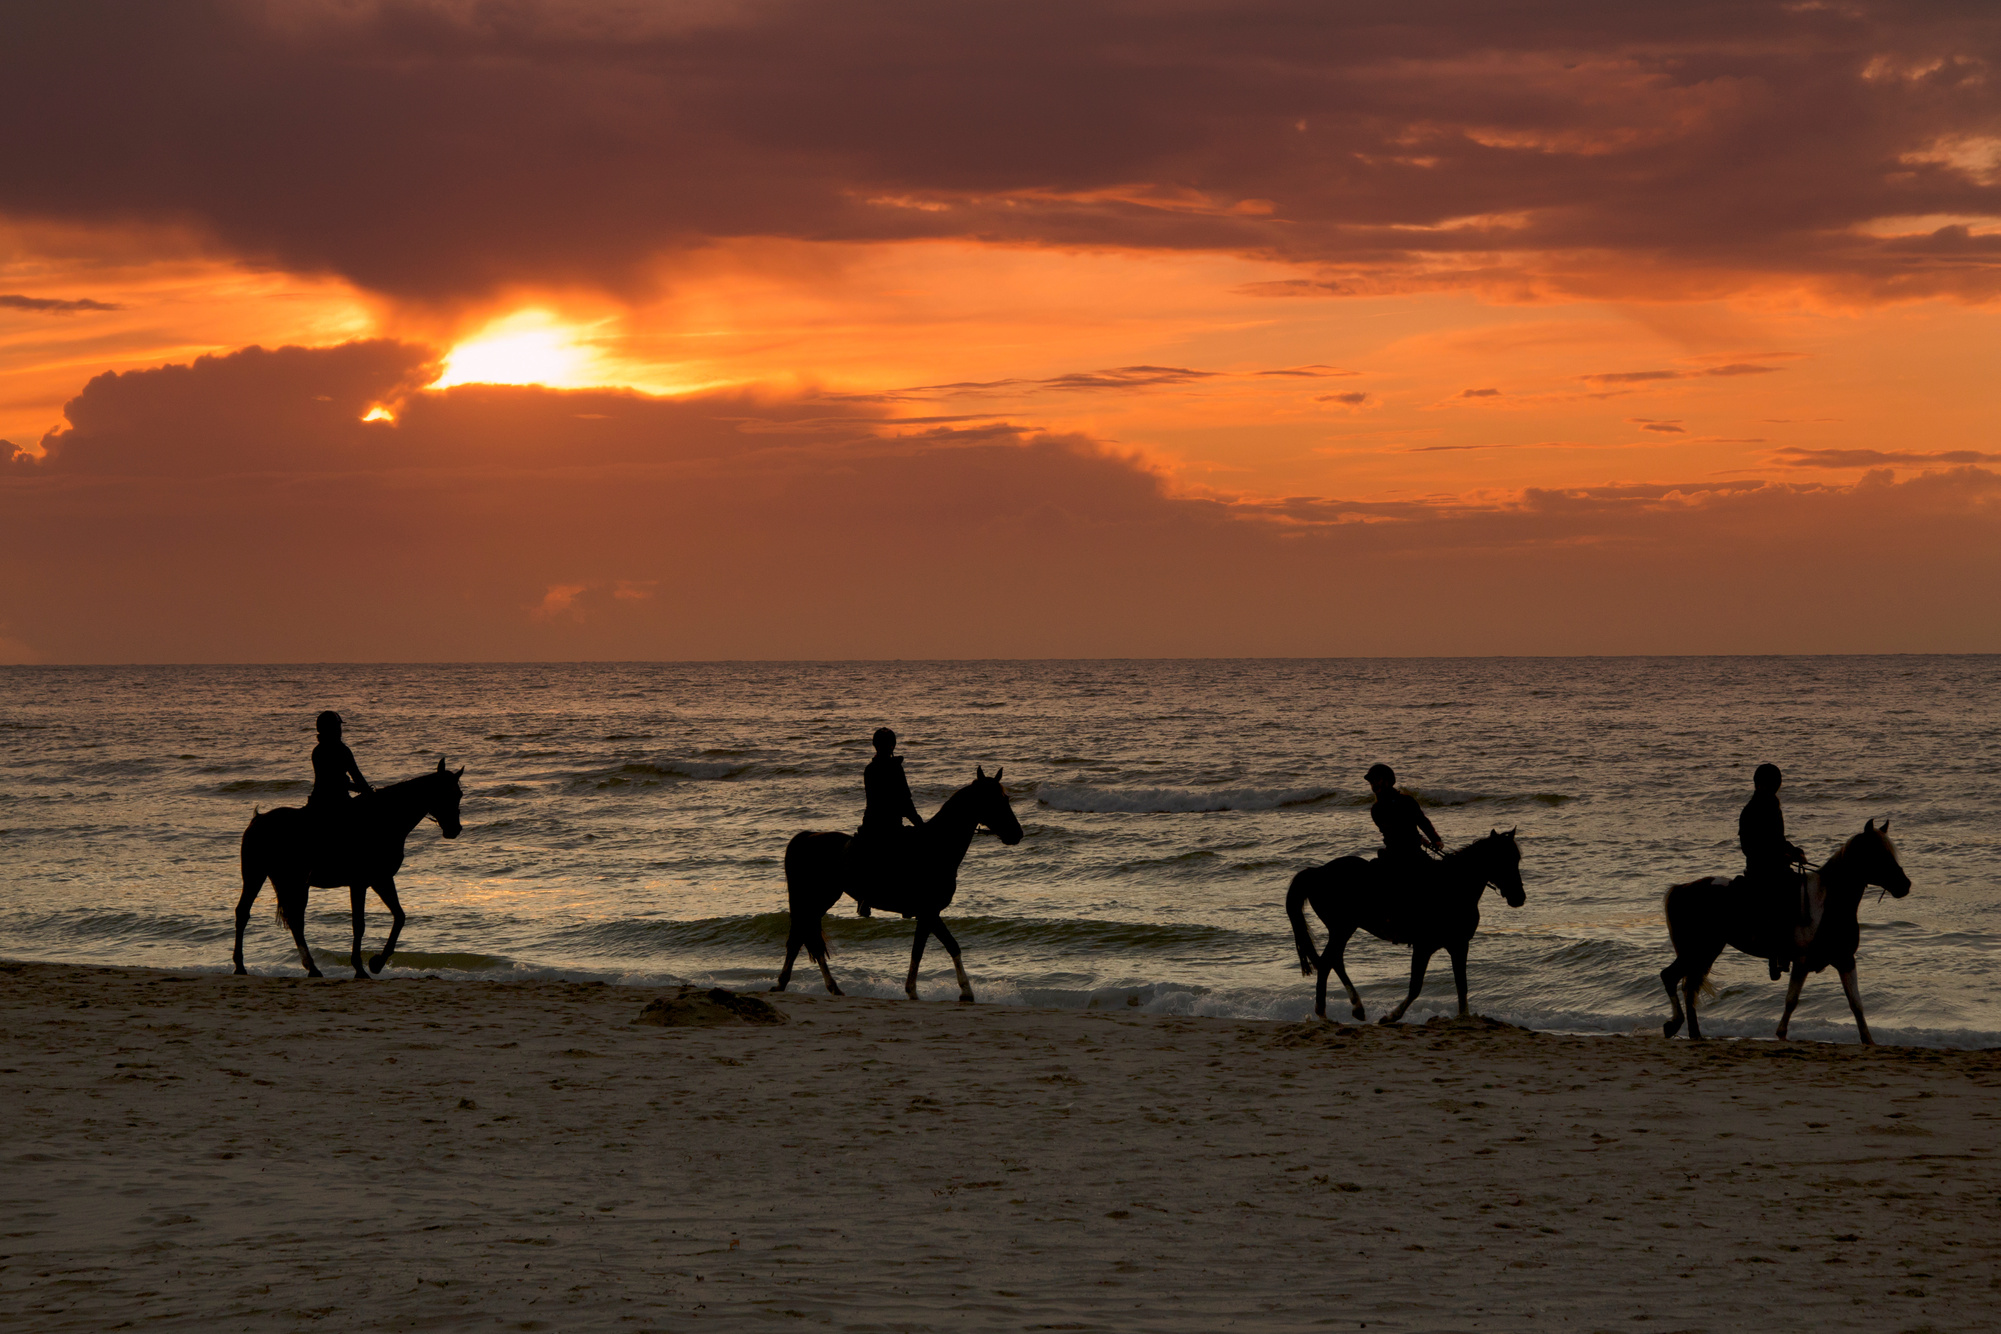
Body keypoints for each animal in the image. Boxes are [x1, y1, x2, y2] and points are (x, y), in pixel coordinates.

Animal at [234, 760, 464, 980]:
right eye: (446, 793)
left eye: (459, 794)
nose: (455, 829)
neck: (384, 819)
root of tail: (257, 820)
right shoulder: (360, 883)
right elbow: (359, 924)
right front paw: (360, 968)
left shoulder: (381, 879)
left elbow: (399, 916)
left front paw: (377, 963)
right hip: (257, 875)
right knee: (245, 913)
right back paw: (240, 966)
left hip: (292, 882)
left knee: (294, 921)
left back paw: (312, 968)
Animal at [768, 772, 1024, 1000]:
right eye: (995, 801)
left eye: (1006, 799)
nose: (1017, 834)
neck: (936, 847)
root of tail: (807, 837)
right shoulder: (929, 912)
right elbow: (945, 947)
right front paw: (962, 991)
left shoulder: (928, 915)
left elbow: (924, 950)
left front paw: (919, 990)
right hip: (816, 899)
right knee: (802, 936)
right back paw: (796, 984)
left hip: (818, 900)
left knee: (803, 937)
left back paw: (820, 986)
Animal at [1288, 828, 1520, 1032]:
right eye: (1504, 859)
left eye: (1517, 859)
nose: (1519, 897)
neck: (1454, 886)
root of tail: (1316, 873)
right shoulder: (1427, 946)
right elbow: (1417, 986)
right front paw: (1390, 1017)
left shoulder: (1458, 945)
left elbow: (1461, 985)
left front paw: (1464, 1018)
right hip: (1342, 928)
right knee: (1328, 961)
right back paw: (1325, 1013)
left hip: (1342, 929)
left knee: (1333, 960)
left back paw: (1356, 1008)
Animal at [1656, 820, 1904, 1048]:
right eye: (1877, 853)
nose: (1905, 884)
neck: (1827, 903)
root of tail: (1681, 888)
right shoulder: (1802, 961)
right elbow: (1791, 1000)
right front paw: (1781, 1034)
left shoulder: (1845, 960)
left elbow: (1856, 1004)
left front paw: (1868, 1040)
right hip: (1698, 950)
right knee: (1670, 977)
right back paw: (1674, 1025)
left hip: (1705, 952)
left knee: (1689, 987)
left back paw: (1694, 1034)